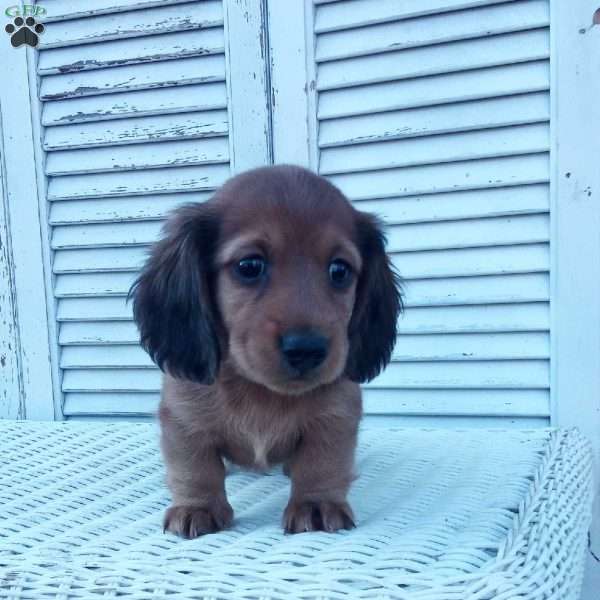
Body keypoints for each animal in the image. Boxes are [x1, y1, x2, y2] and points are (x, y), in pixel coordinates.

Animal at [131, 164, 404, 540]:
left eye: (340, 270)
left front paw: (316, 503)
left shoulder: (337, 413)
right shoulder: (182, 416)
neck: (261, 392)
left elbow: (323, 461)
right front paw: (197, 506)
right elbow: (194, 465)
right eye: (249, 266)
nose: (306, 349)